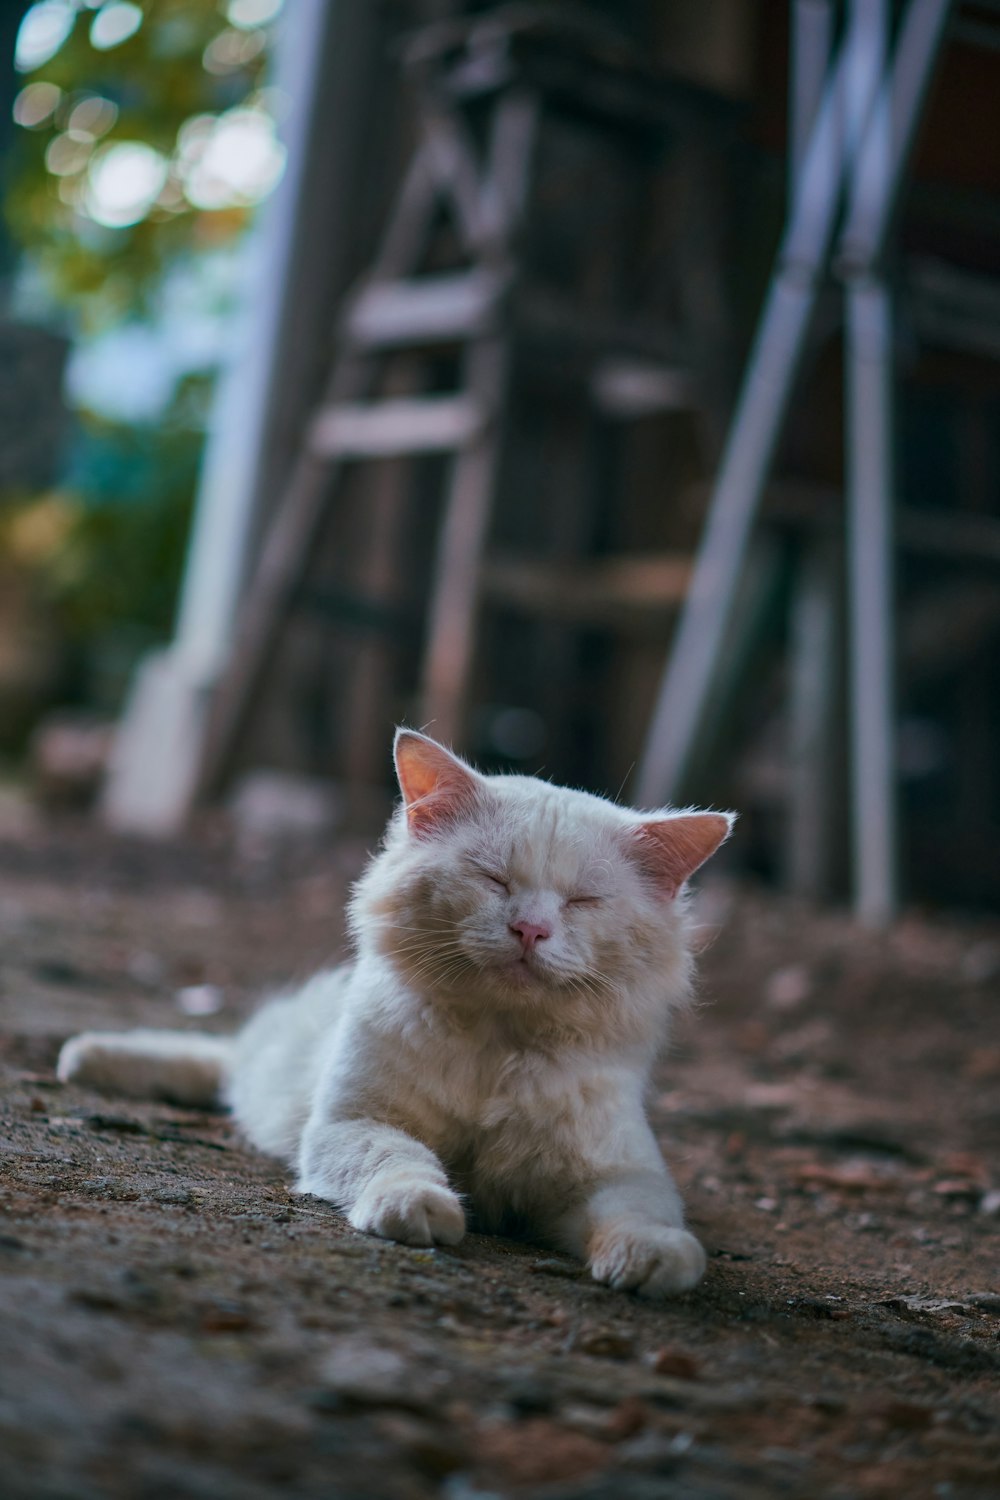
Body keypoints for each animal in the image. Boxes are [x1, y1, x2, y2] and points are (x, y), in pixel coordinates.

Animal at [60, 732, 734, 1296]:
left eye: (583, 901)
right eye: (493, 879)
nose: (530, 930)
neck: (497, 1044)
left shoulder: (613, 1171)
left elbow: (639, 1214)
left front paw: (653, 1260)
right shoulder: (352, 1123)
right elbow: (400, 1162)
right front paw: (418, 1210)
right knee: (218, 1064)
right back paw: (84, 1059)